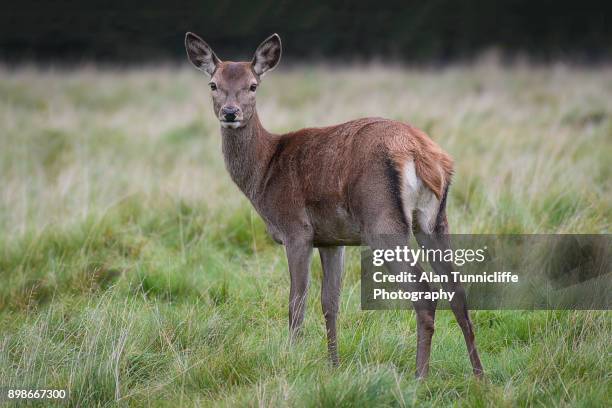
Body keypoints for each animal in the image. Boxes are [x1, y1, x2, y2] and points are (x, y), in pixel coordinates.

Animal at [183, 31, 482, 380]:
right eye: (213, 84)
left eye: (253, 85)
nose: (230, 113)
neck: (265, 171)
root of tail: (422, 153)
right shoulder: (331, 238)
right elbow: (330, 302)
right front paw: (333, 365)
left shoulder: (296, 229)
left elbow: (296, 301)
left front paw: (292, 358)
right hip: (435, 220)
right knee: (457, 290)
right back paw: (480, 376)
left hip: (383, 220)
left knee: (425, 292)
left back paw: (420, 377)